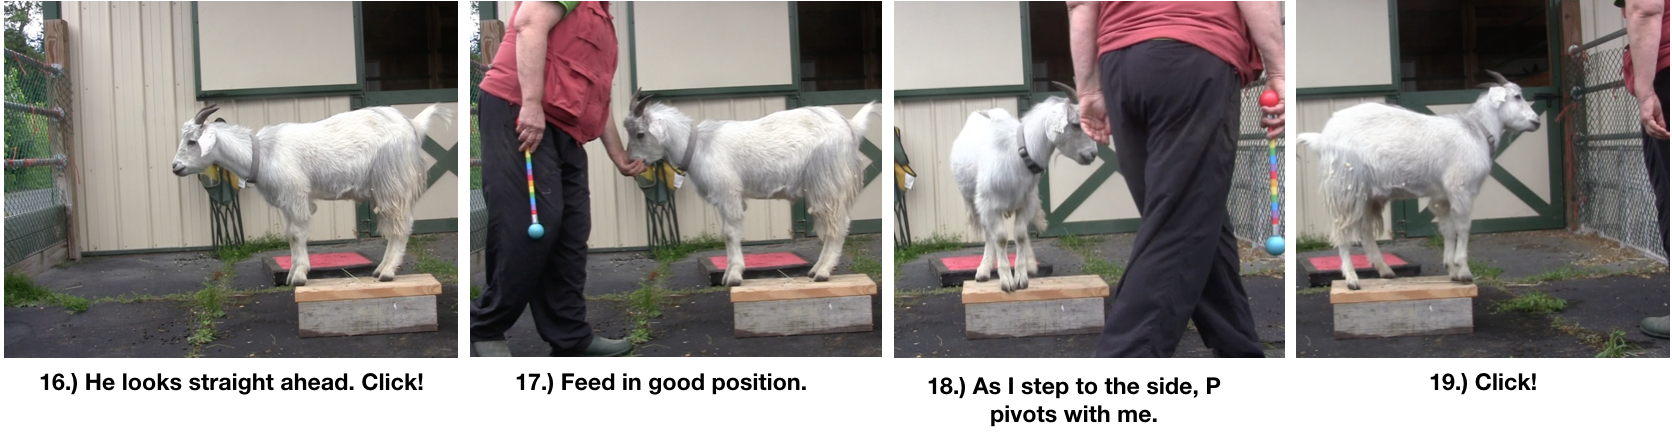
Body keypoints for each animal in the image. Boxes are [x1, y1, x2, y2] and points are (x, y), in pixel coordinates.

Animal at [171, 103, 454, 286]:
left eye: (192, 141)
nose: (175, 167)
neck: (263, 153)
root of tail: (414, 125)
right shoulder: (287, 202)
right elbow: (290, 236)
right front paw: (292, 272)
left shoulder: (296, 196)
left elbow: (298, 234)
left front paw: (299, 276)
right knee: (394, 226)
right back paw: (379, 269)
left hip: (393, 181)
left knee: (401, 226)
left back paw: (387, 272)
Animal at [621, 92, 878, 286]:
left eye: (640, 133)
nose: (630, 162)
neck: (698, 146)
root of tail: (850, 126)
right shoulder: (722, 198)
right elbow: (725, 232)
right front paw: (729, 272)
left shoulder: (729, 193)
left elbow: (730, 233)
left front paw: (734, 275)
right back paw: (815, 269)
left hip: (828, 181)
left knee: (837, 225)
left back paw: (823, 271)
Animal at [950, 83, 1099, 292]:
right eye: (1076, 124)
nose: (1093, 153)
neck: (1018, 153)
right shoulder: (988, 204)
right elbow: (1000, 238)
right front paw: (1006, 280)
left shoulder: (1026, 202)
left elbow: (1020, 235)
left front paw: (1021, 277)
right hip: (973, 201)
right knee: (989, 233)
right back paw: (984, 270)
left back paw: (1029, 264)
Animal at [1299, 70, 1540, 290]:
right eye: (1517, 96)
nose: (1537, 121)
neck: (1476, 132)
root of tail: (1323, 137)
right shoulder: (1460, 188)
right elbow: (1463, 228)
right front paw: (1464, 271)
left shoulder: (1442, 196)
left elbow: (1448, 229)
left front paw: (1451, 269)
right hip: (1344, 187)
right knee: (1342, 232)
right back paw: (1351, 279)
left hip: (1366, 194)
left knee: (1365, 231)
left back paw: (1385, 270)